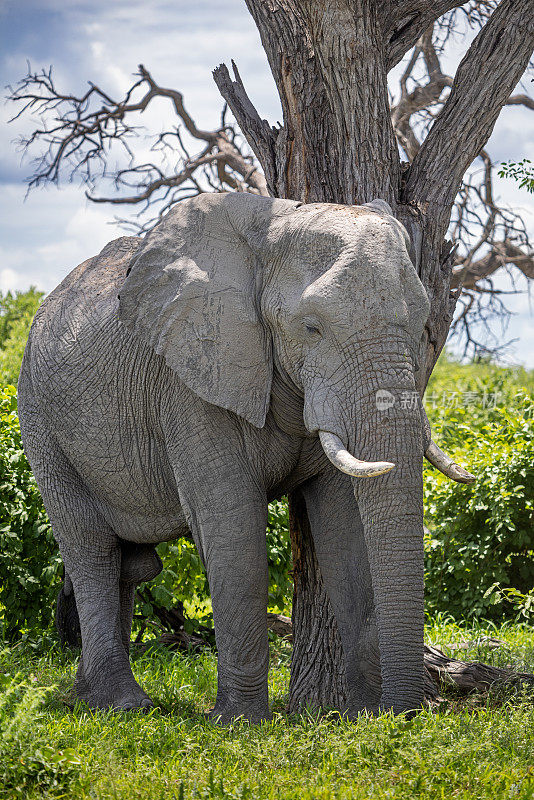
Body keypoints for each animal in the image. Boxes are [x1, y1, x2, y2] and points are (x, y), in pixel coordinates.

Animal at [18, 191, 476, 720]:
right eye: (311, 327)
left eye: (424, 324)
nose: (401, 715)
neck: (274, 227)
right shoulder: (192, 380)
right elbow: (232, 523)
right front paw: (238, 723)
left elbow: (344, 526)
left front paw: (358, 715)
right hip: (40, 422)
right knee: (91, 550)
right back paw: (123, 705)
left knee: (131, 566)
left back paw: (88, 694)